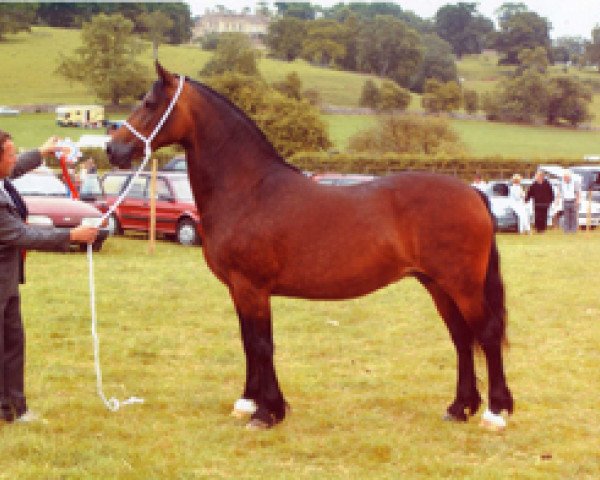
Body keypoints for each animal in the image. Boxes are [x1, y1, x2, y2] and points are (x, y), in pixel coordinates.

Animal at [105, 62, 512, 428]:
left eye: (149, 103)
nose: (112, 149)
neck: (248, 190)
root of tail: (474, 193)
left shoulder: (252, 287)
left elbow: (261, 344)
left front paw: (267, 413)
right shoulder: (238, 289)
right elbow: (248, 342)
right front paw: (248, 403)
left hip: (462, 285)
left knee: (487, 334)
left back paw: (495, 412)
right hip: (438, 286)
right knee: (462, 338)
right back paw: (459, 408)